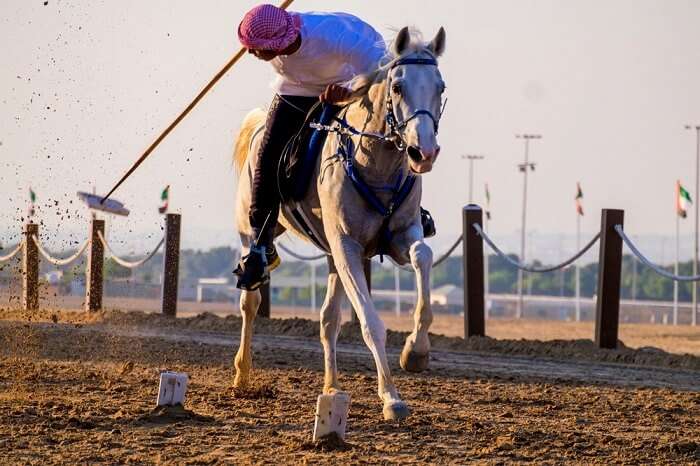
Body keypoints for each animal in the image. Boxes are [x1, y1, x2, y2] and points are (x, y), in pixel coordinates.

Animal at [232, 26, 446, 422]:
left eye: (440, 86)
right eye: (397, 87)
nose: (423, 153)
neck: (374, 162)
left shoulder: (399, 236)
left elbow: (422, 256)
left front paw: (416, 351)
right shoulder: (348, 247)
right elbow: (370, 323)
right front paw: (391, 397)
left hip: (332, 256)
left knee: (328, 320)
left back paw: (331, 388)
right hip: (250, 233)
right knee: (250, 301)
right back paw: (242, 375)